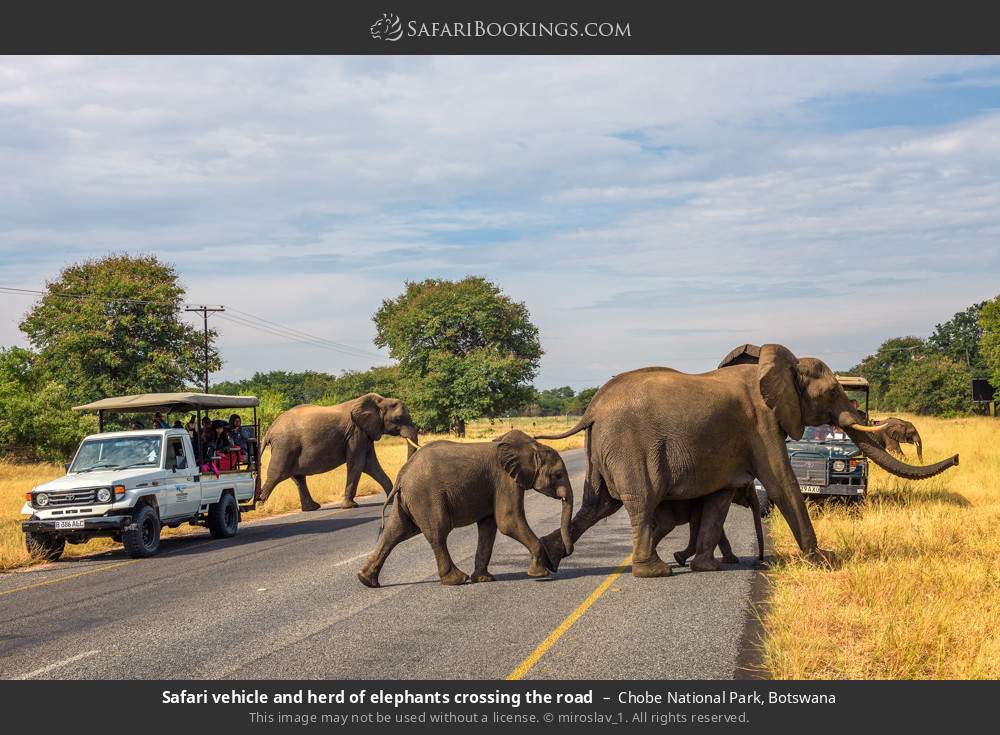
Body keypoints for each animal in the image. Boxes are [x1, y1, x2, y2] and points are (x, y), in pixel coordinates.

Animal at [256, 396, 420, 512]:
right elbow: (357, 464)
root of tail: (270, 430)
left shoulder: (365, 433)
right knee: (277, 475)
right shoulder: (356, 432)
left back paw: (312, 508)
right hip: (284, 447)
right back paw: (259, 507)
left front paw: (391, 501)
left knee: (298, 478)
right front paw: (350, 506)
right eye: (398, 419)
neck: (379, 401)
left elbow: (371, 465)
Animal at [358, 428, 576, 588]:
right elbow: (508, 521)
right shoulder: (505, 480)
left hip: (409, 499)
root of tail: (402, 474)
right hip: (426, 496)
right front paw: (540, 574)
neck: (532, 447)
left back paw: (366, 580)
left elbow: (489, 526)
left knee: (396, 531)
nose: (556, 563)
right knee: (437, 532)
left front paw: (484, 579)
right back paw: (456, 580)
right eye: (557, 474)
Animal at [536, 342, 956, 576]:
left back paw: (545, 562)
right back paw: (653, 572)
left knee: (597, 505)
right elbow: (782, 483)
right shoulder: (761, 423)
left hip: (602, 452)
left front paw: (708, 566)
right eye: (832, 393)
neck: (780, 364)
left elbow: (721, 498)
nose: (956, 458)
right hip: (629, 448)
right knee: (640, 501)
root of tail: (592, 410)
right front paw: (825, 561)